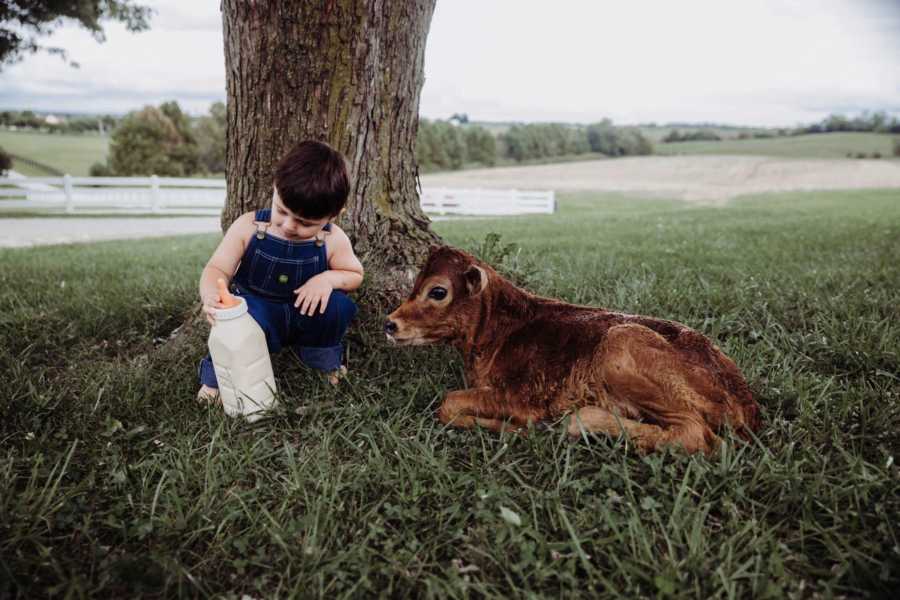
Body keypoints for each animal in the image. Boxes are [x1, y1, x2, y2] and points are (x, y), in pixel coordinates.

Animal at [384, 245, 760, 454]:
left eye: (438, 291)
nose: (390, 323)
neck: (496, 335)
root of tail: (745, 402)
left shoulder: (526, 395)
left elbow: (448, 403)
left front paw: (517, 428)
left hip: (621, 345)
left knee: (698, 436)